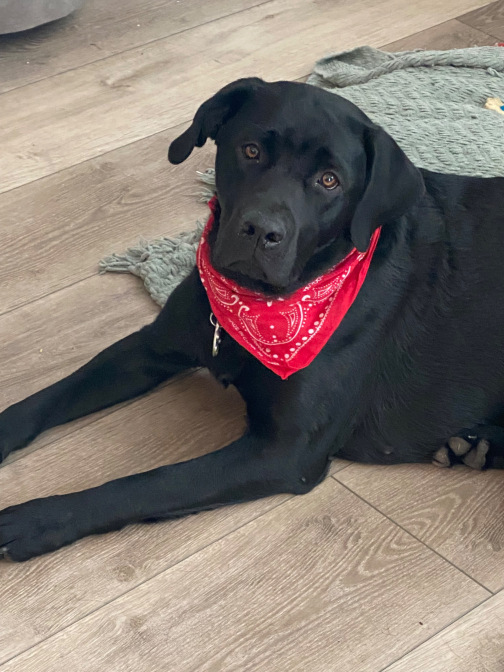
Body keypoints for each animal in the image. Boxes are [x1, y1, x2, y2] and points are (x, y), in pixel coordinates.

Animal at [1, 77, 504, 562]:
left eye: (329, 180)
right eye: (251, 151)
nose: (261, 231)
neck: (255, 307)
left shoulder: (282, 451)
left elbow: (150, 482)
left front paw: (37, 519)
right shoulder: (151, 348)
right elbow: (48, 398)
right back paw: (472, 446)